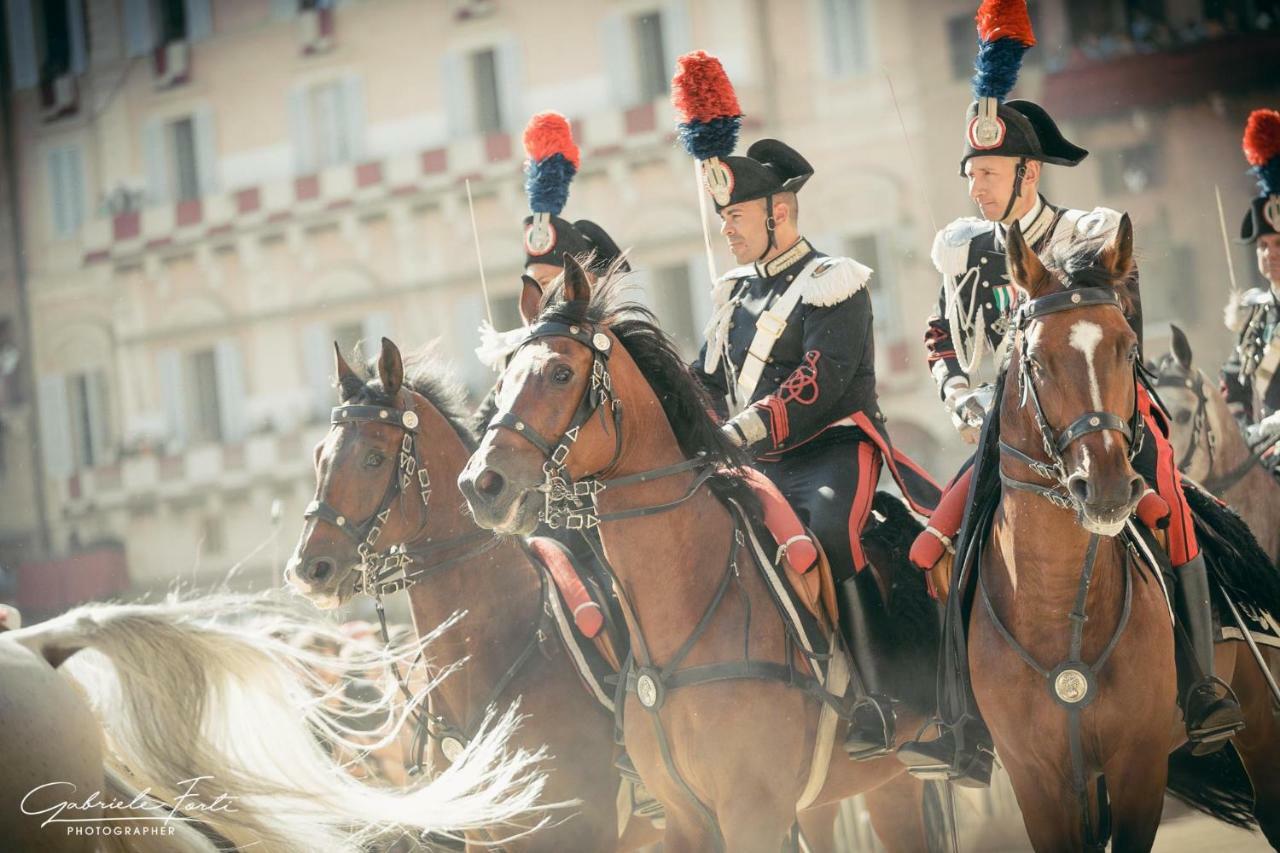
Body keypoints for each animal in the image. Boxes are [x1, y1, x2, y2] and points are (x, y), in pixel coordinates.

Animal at [460, 258, 952, 850]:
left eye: (559, 373)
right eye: (502, 380)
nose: (481, 484)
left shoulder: (753, 813)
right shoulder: (683, 819)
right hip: (879, 788)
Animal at [967, 220, 1280, 850]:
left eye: (1128, 348)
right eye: (1035, 360)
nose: (1109, 487)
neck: (1056, 609)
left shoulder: (1138, 763)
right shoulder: (1039, 781)